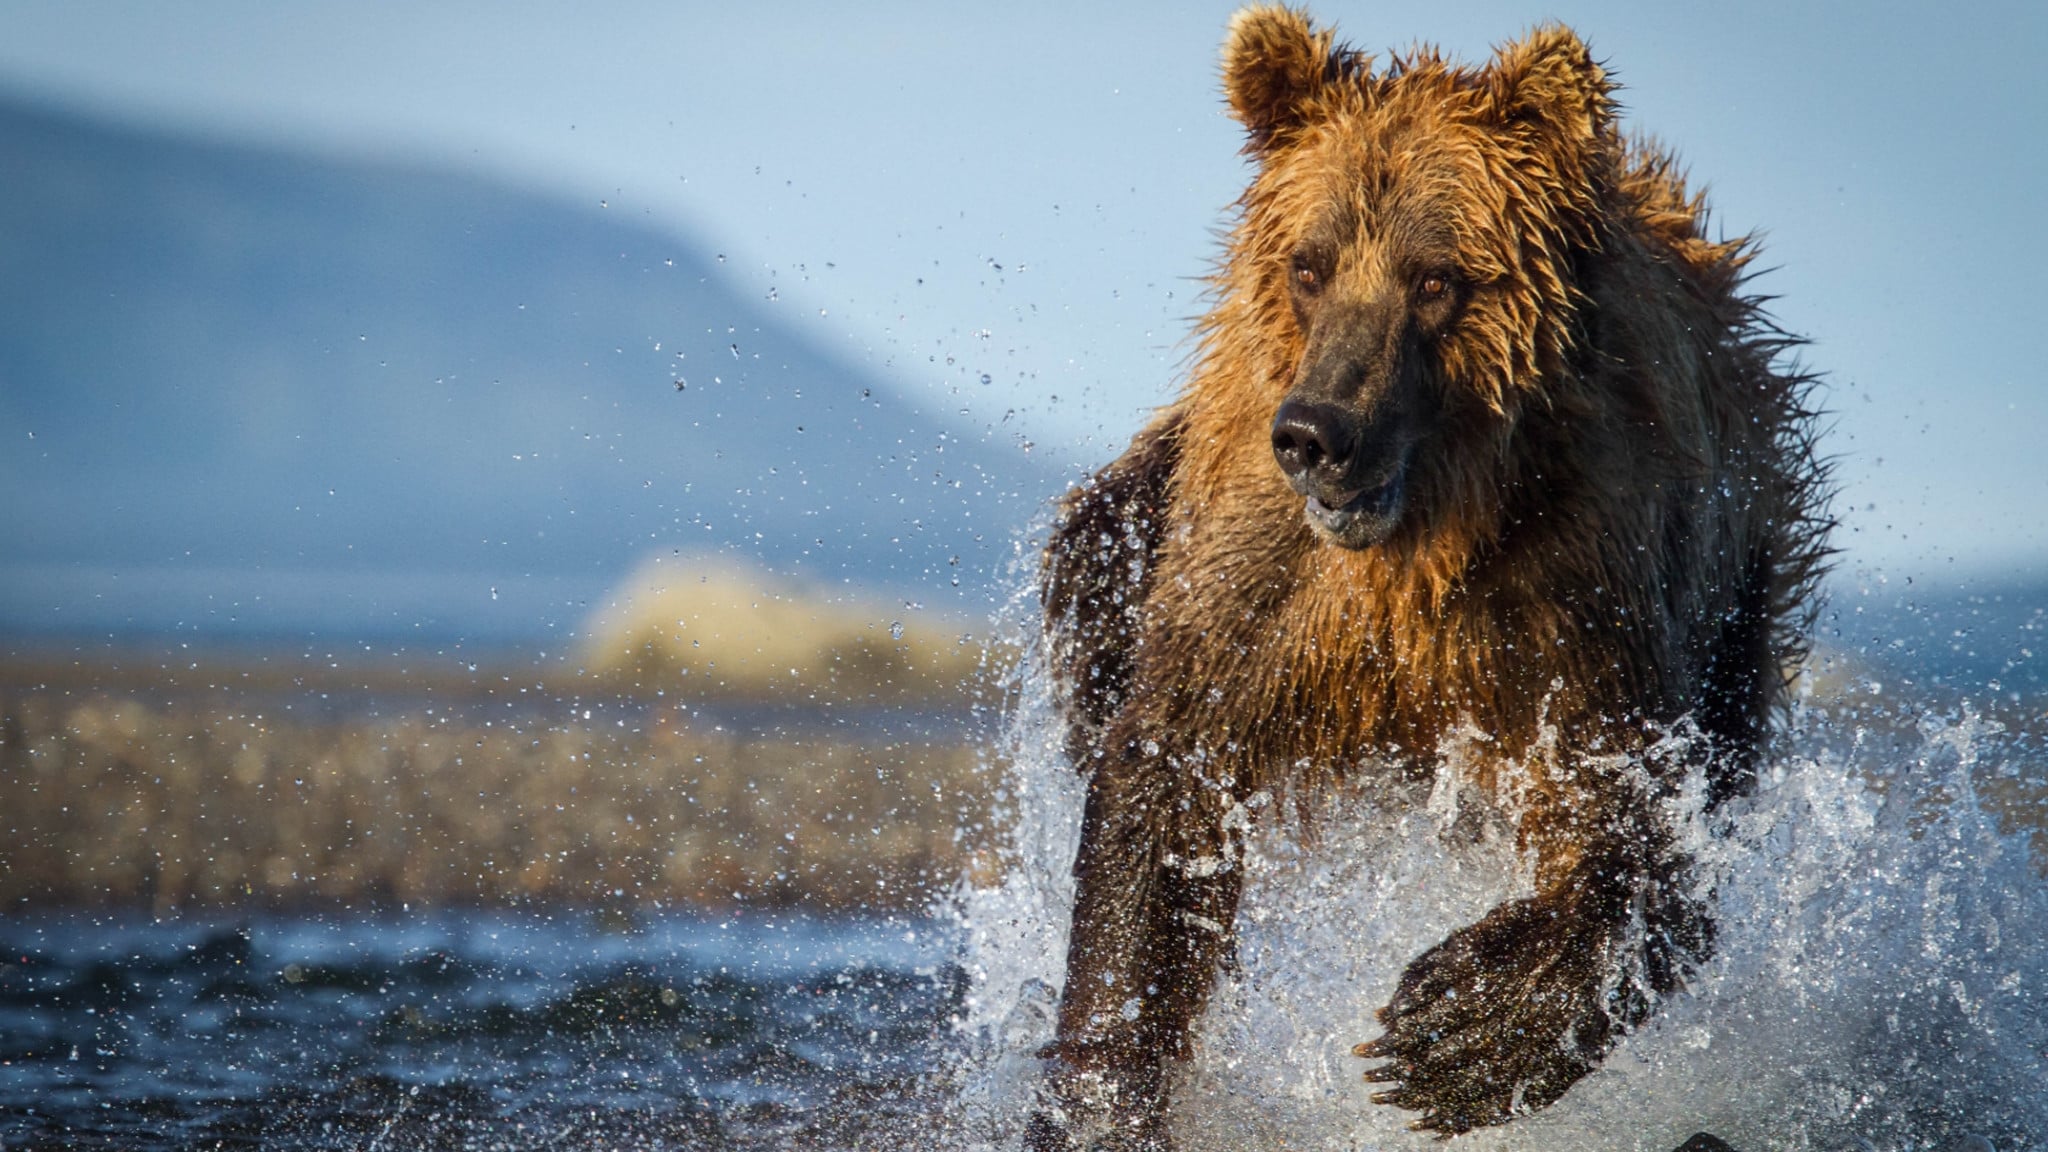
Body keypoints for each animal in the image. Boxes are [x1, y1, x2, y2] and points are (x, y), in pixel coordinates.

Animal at [1032, 4, 1835, 1139]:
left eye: (1435, 276)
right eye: (1310, 264)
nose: (1318, 434)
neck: (1418, 545)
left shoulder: (1582, 590)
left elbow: (1629, 816)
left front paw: (1448, 1031)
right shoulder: (1261, 584)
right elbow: (1163, 793)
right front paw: (1103, 1096)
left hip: (1735, 589)